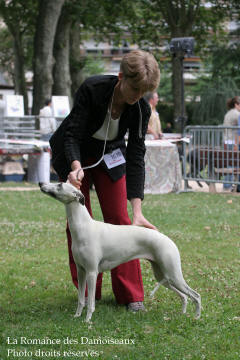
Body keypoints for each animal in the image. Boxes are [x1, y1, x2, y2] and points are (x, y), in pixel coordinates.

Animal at [39, 181, 201, 322]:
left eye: (60, 184)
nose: (40, 183)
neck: (84, 227)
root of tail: (169, 240)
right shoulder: (81, 271)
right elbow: (81, 299)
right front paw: (77, 316)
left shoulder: (92, 272)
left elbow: (90, 302)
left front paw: (87, 320)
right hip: (163, 275)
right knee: (184, 296)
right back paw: (183, 313)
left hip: (173, 275)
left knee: (196, 295)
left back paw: (197, 317)